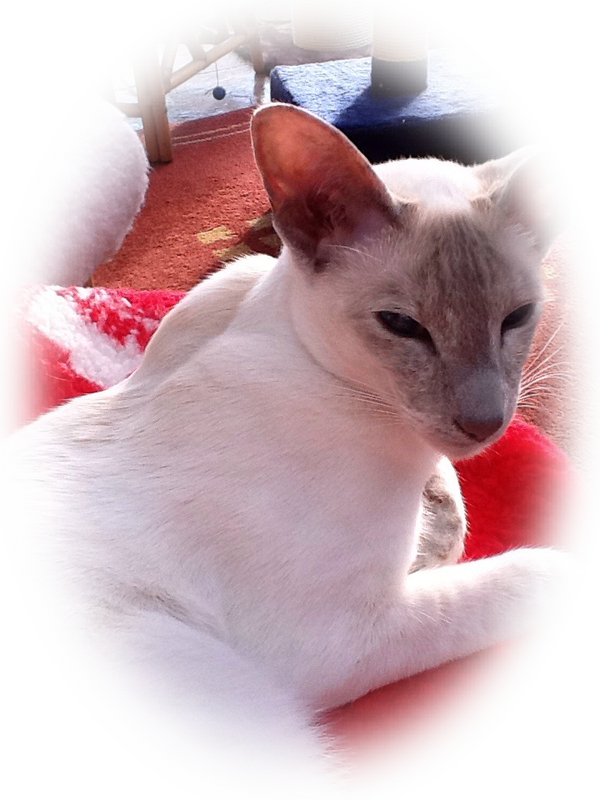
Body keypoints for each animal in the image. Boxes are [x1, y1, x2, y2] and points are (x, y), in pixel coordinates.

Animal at [1, 103, 580, 796]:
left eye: (518, 317)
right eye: (402, 327)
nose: (485, 422)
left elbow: (449, 505)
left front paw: (438, 525)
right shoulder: (340, 637)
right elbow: (509, 579)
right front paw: (562, 571)